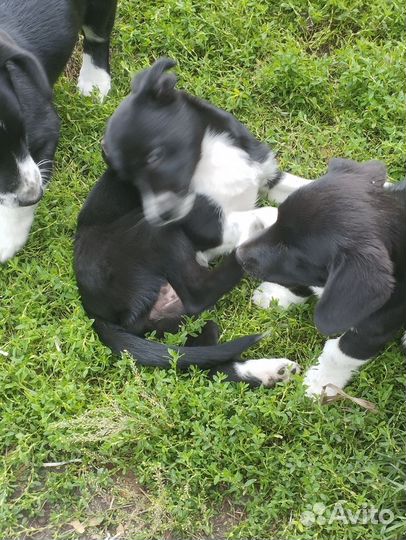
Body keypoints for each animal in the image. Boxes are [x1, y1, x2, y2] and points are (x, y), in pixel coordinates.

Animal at [0, 0, 117, 262]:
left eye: (23, 131)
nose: (34, 196)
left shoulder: (46, 128)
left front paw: (7, 237)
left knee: (98, 35)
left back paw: (94, 84)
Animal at [73, 59, 304, 386]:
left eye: (155, 156)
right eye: (128, 178)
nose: (161, 215)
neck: (209, 156)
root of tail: (94, 311)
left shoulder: (267, 176)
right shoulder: (205, 225)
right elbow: (262, 214)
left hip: (178, 324)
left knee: (203, 359)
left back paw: (269, 371)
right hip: (153, 236)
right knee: (198, 294)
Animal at [236, 158, 404, 398]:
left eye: (289, 250)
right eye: (278, 220)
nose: (238, 255)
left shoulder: (374, 329)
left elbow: (341, 354)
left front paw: (322, 382)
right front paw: (276, 296)